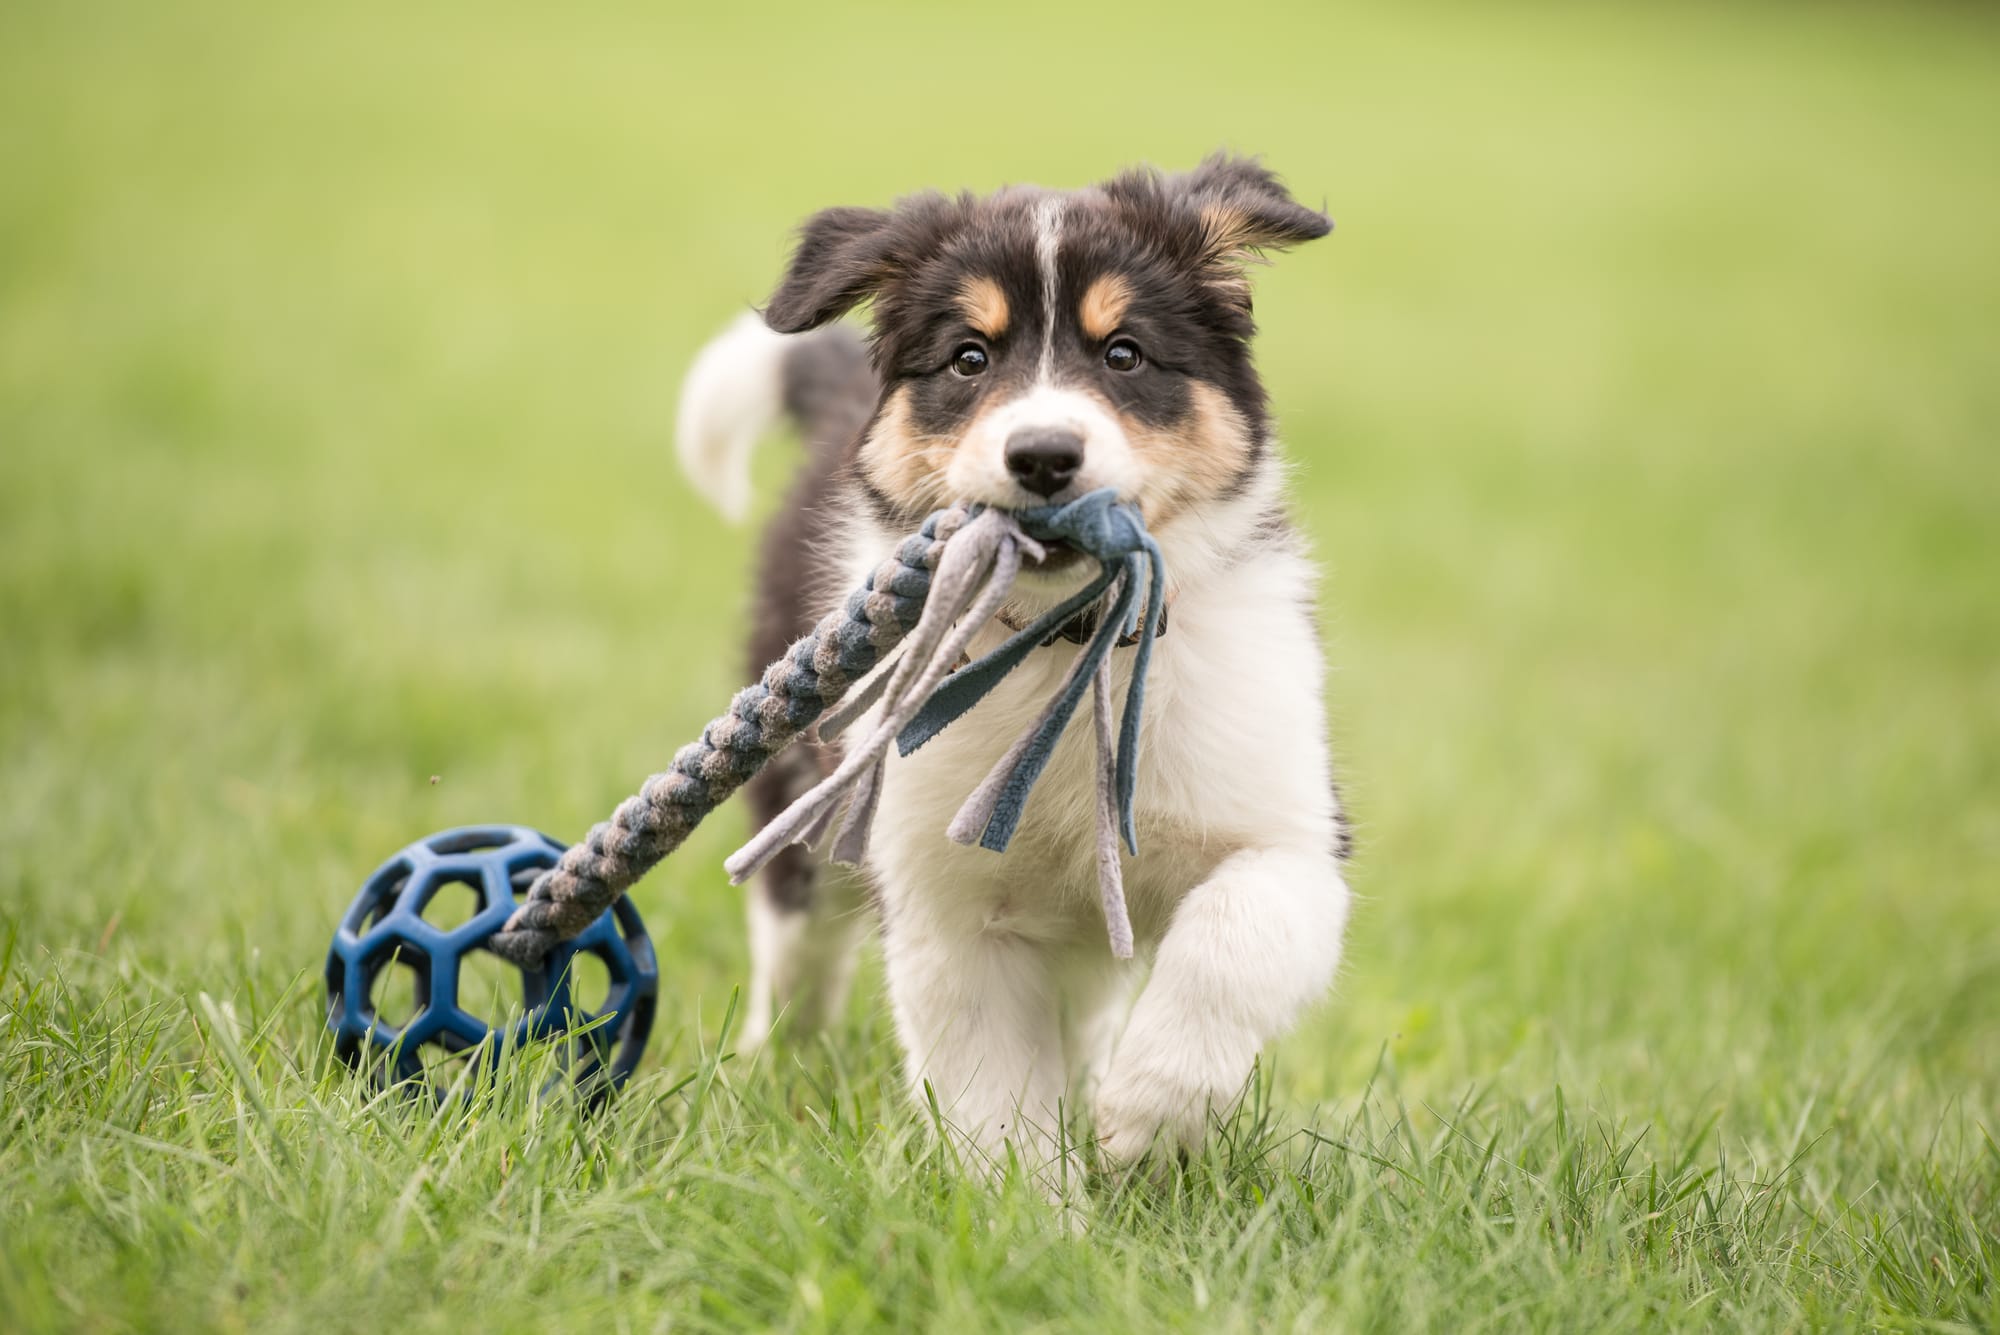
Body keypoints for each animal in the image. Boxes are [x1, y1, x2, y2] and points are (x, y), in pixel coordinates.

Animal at [680, 156, 1352, 1175]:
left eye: (1124, 354)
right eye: (969, 359)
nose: (1041, 454)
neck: (1063, 643)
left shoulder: (1292, 831)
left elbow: (1235, 938)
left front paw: (1142, 1114)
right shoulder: (944, 903)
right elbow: (992, 1094)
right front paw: (1030, 1203)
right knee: (795, 949)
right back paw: (773, 1067)